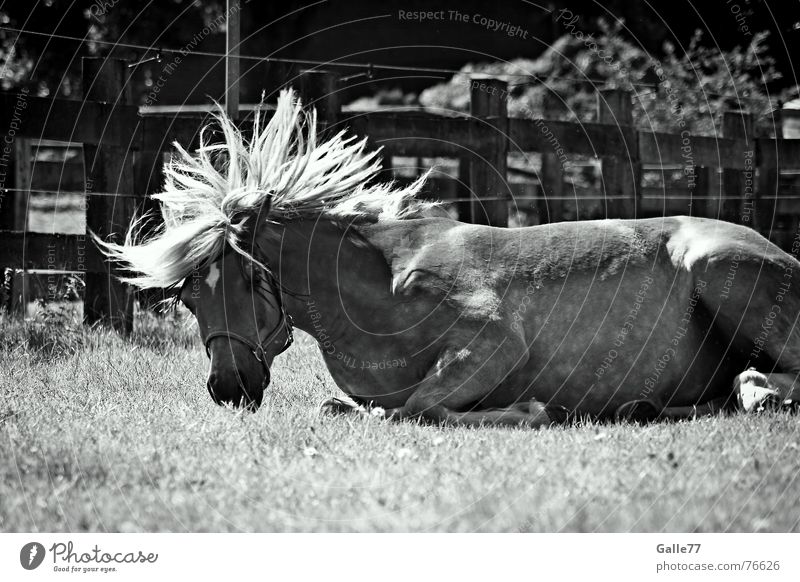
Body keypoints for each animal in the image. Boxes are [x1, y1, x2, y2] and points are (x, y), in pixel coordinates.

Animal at [98, 91, 800, 428]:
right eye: (188, 295)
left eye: (246, 279)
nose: (227, 388)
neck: (377, 283)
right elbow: (355, 408)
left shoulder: (494, 341)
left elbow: (415, 409)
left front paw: (530, 412)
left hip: (719, 268)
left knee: (767, 378)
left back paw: (756, 391)